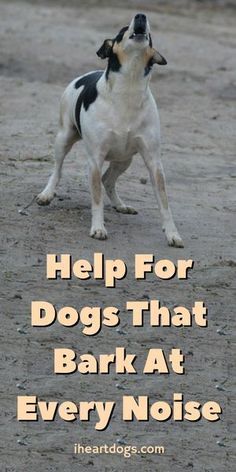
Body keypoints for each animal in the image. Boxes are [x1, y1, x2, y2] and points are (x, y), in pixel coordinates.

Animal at [36, 13, 184, 247]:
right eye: (123, 30)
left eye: (150, 35)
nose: (141, 15)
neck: (129, 88)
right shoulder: (95, 160)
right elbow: (96, 199)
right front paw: (98, 228)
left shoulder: (154, 162)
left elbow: (164, 202)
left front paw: (172, 234)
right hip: (64, 138)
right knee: (58, 169)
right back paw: (47, 193)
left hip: (124, 159)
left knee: (108, 180)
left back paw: (120, 204)